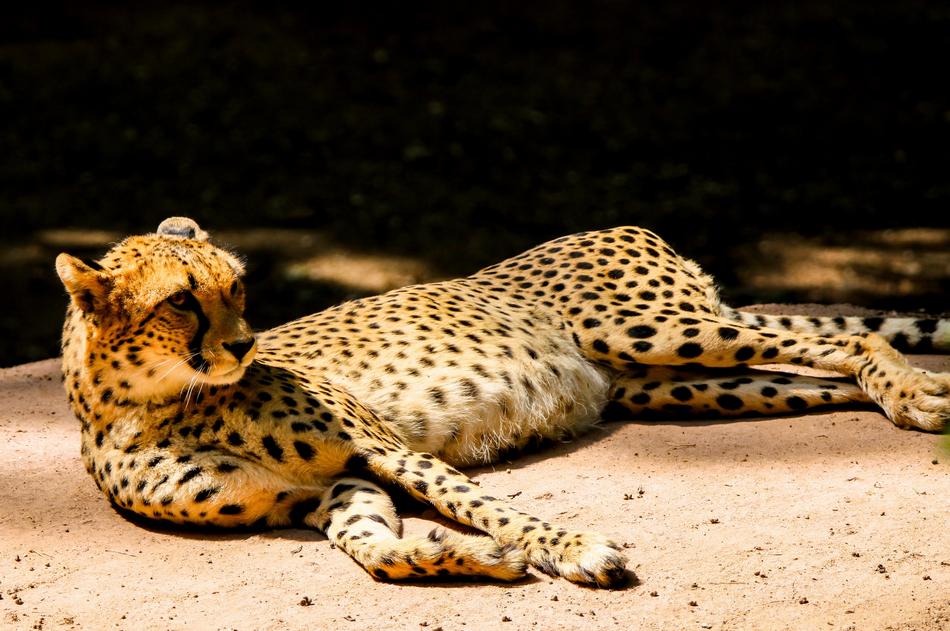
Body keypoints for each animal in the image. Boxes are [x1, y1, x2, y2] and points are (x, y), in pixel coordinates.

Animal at [55, 216, 950, 588]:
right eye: (181, 300)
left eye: (236, 286)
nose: (244, 344)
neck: (148, 406)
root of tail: (623, 226)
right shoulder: (326, 490)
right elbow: (376, 549)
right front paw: (465, 560)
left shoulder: (381, 447)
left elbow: (494, 506)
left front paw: (575, 547)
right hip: (676, 382)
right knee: (826, 376)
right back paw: (903, 395)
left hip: (657, 330)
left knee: (847, 345)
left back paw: (915, 390)